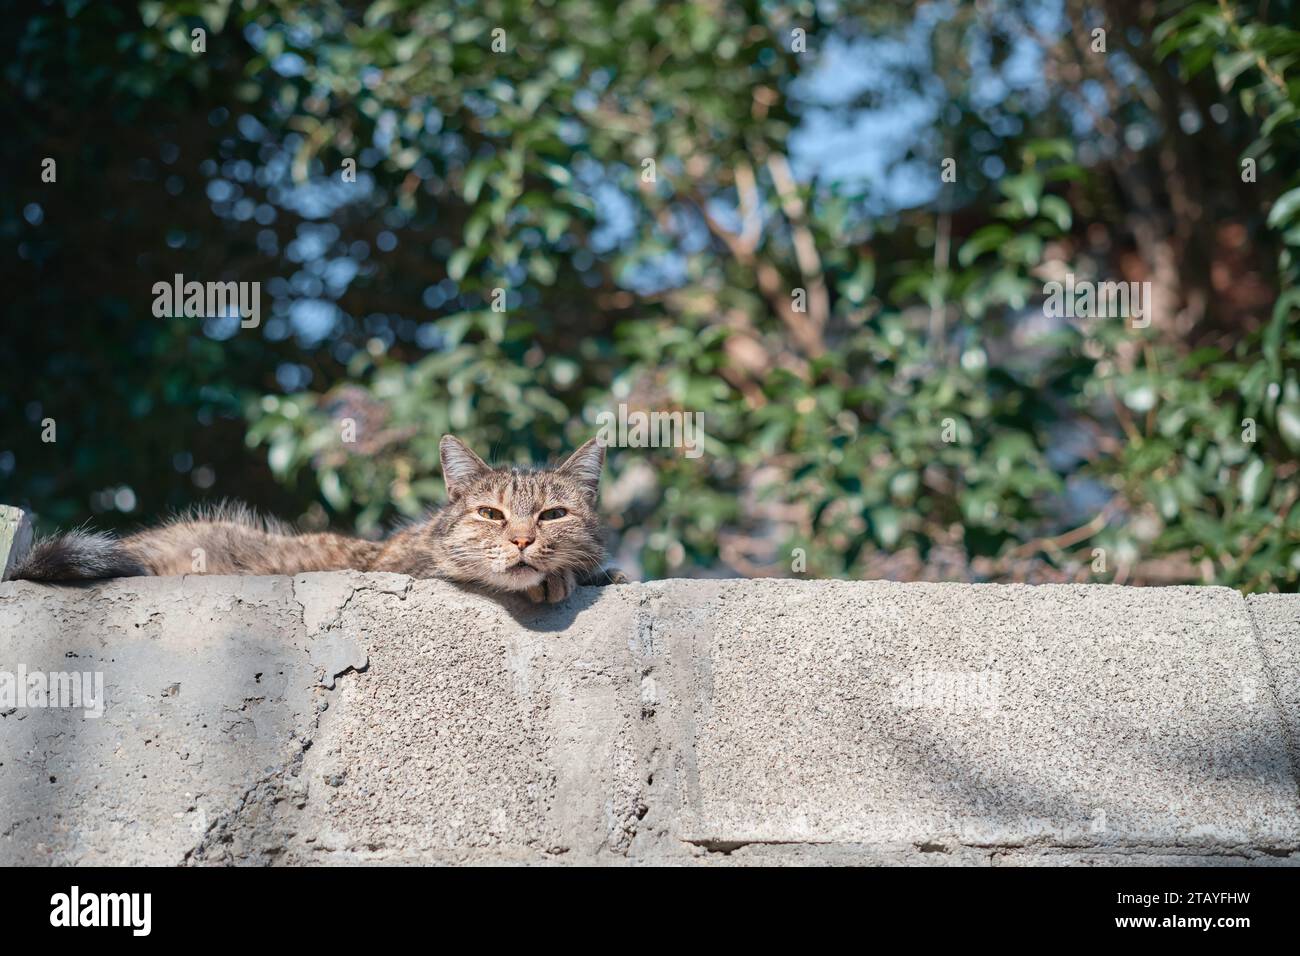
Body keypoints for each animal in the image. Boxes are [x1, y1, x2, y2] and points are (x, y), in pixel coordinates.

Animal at [10, 434, 626, 600]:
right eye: (491, 513)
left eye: (552, 514)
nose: (522, 540)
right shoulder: (400, 567)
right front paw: (555, 578)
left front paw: (598, 572)